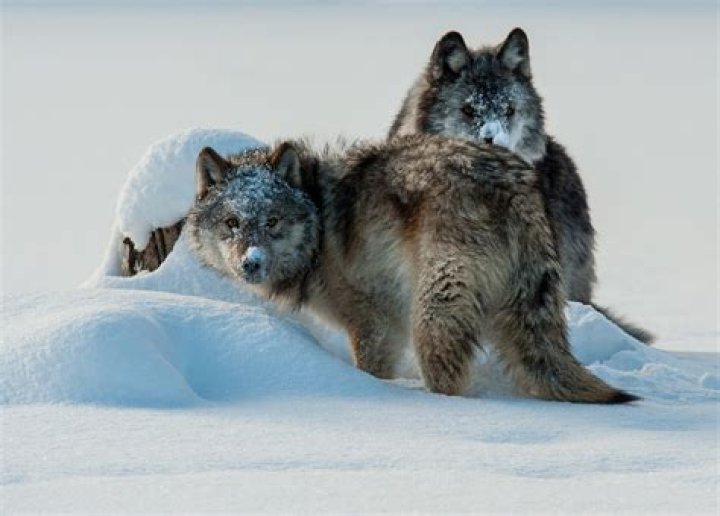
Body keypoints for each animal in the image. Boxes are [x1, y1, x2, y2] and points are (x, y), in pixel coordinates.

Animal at [185, 135, 637, 403]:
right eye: (232, 223)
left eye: (273, 221)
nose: (251, 263)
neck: (318, 228)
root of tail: (511, 186)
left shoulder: (375, 326)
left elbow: (370, 371)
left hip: (431, 317)